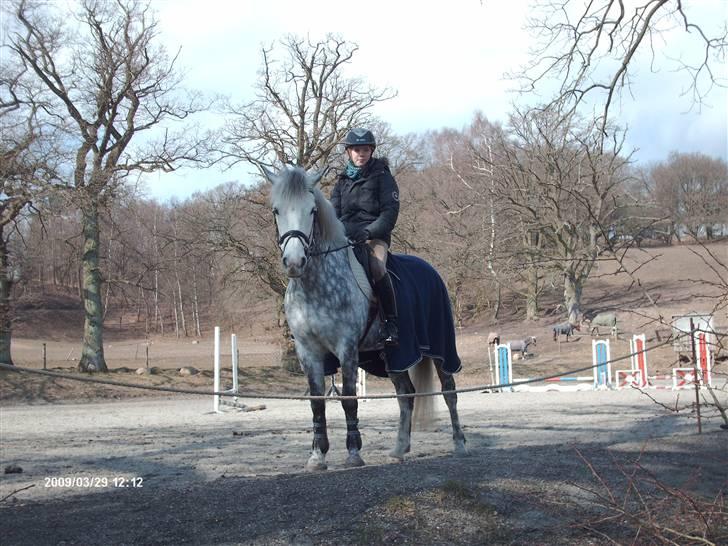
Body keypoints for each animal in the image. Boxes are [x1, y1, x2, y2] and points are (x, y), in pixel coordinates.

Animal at [264, 164, 466, 470]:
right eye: (277, 210)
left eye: (312, 210)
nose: (295, 262)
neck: (315, 285)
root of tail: (430, 269)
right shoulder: (308, 352)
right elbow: (317, 403)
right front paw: (317, 456)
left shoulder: (346, 349)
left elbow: (349, 399)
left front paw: (353, 452)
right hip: (395, 357)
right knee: (406, 394)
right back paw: (399, 448)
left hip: (440, 350)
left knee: (449, 392)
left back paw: (459, 443)